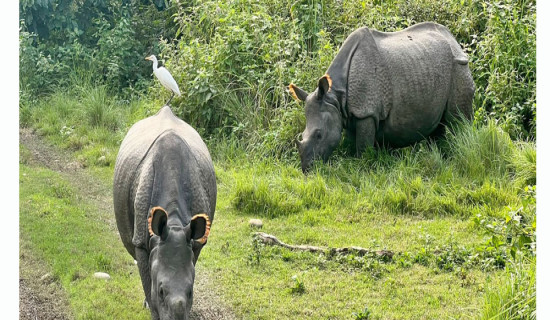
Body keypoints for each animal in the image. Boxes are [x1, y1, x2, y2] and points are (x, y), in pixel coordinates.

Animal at [113, 106, 217, 318]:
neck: (174, 221)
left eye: (191, 291)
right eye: (161, 291)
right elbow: (148, 284)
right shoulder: (142, 242)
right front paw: (152, 309)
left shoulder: (195, 243)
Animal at [292, 21, 476, 172]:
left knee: (458, 120)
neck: (335, 97)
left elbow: (363, 148)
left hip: (459, 66)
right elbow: (353, 143)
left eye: (319, 135)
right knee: (438, 125)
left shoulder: (366, 111)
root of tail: (453, 40)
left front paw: (362, 168)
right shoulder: (347, 113)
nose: (307, 169)